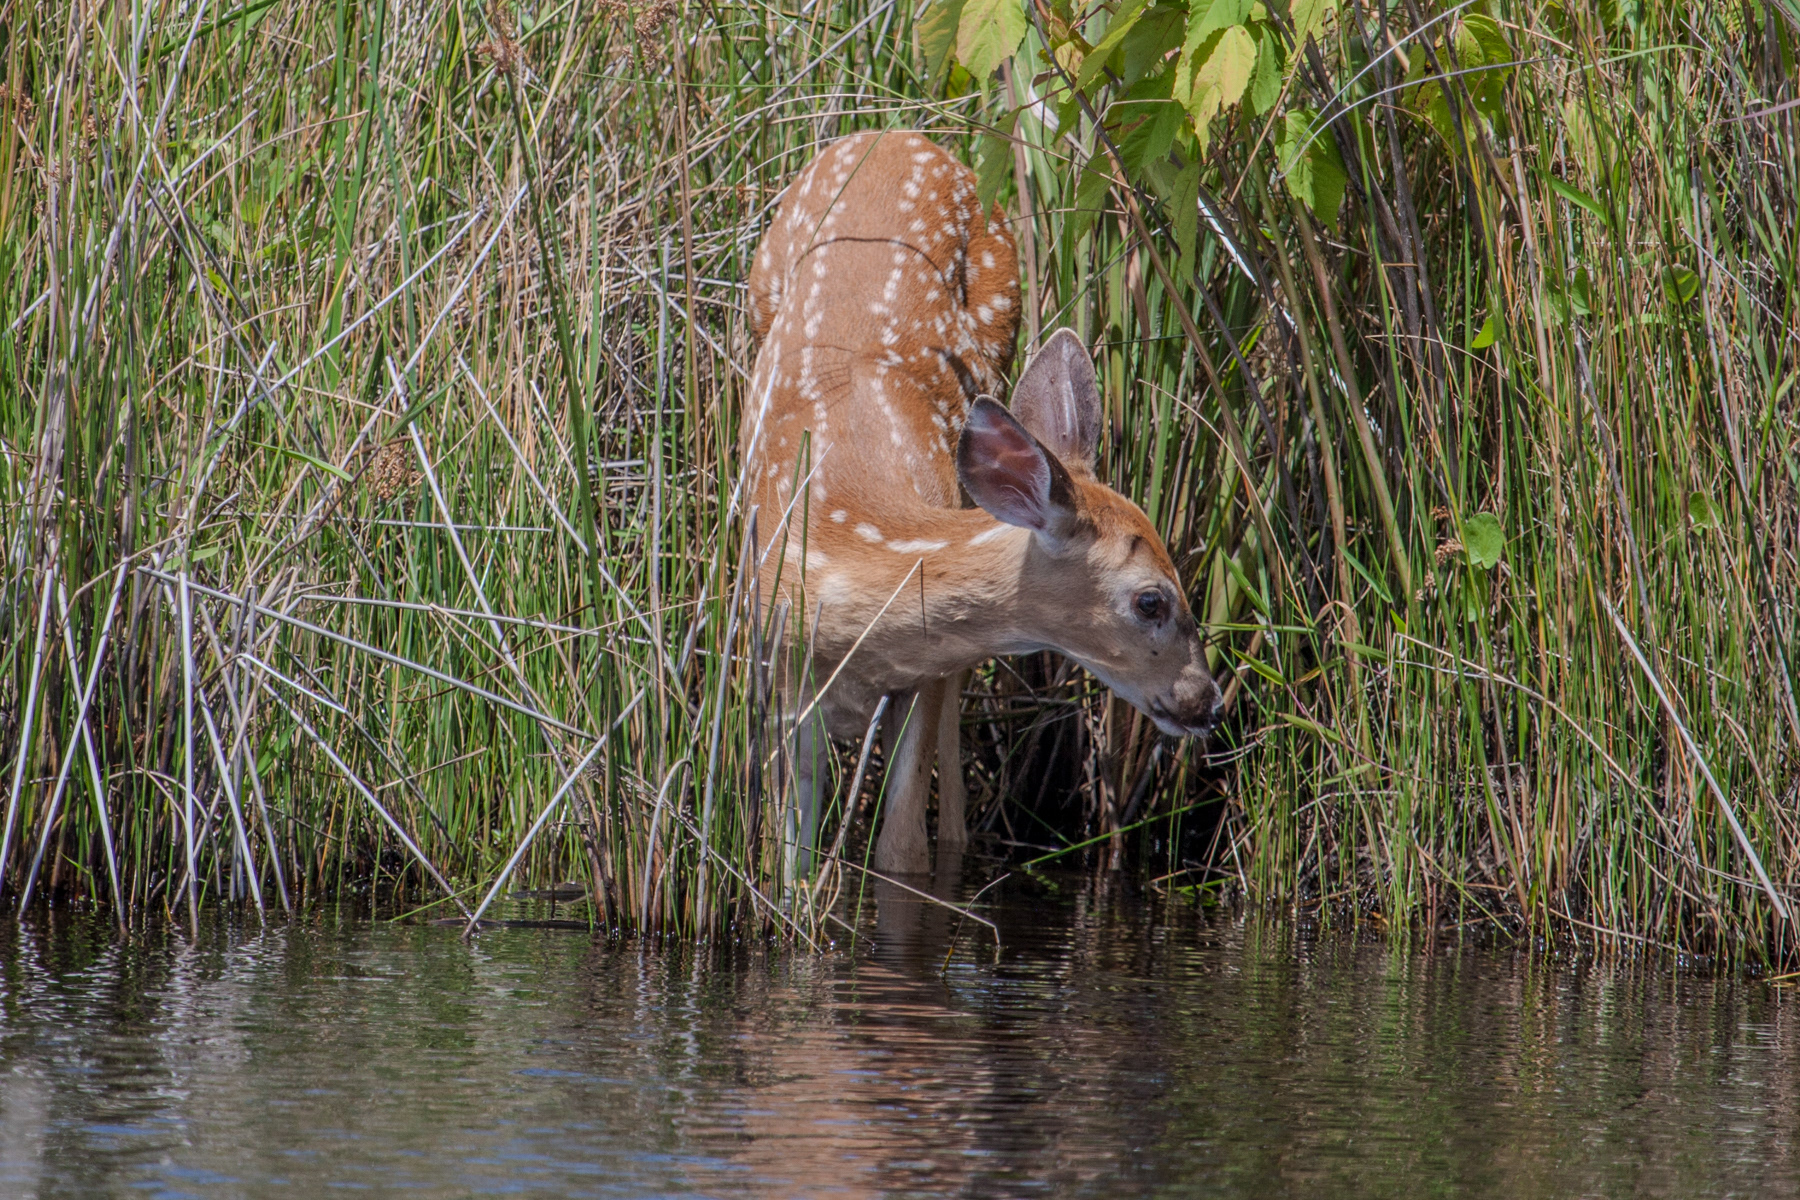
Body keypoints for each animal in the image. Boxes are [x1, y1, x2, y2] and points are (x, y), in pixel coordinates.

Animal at [743, 129, 1221, 879]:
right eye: (1152, 600)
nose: (1207, 701)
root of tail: (897, 135)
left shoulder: (926, 670)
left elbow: (902, 847)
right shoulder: (777, 679)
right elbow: (788, 862)